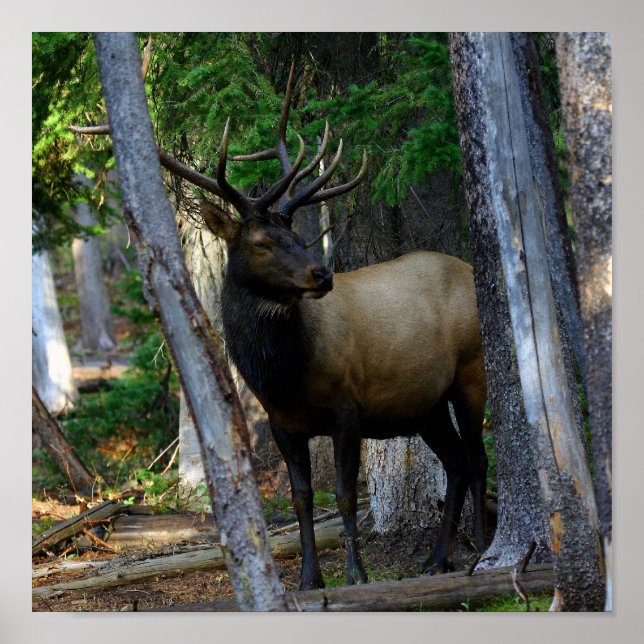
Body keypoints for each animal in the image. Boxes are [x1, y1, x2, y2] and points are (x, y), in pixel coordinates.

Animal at [160, 65, 488, 590]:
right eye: (261, 242)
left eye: (297, 234)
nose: (322, 274)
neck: (284, 371)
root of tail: (470, 269)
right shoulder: (282, 423)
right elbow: (302, 498)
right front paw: (308, 579)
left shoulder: (347, 408)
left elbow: (344, 493)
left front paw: (356, 574)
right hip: (426, 404)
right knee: (456, 463)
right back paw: (438, 559)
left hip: (472, 371)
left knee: (478, 459)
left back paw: (479, 549)